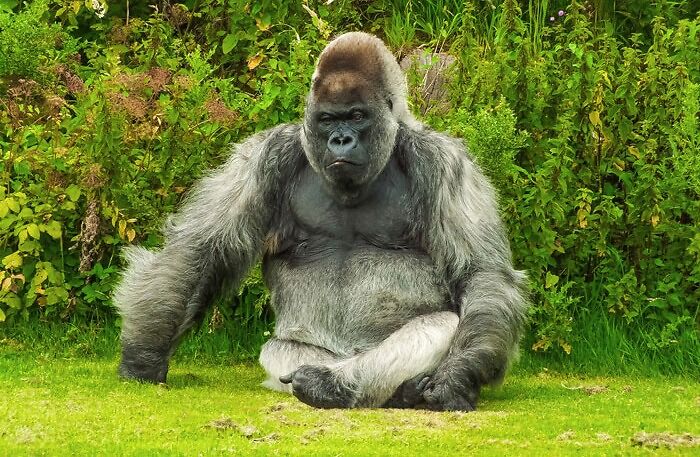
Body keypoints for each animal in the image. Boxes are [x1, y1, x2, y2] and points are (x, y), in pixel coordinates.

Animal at [114, 32, 528, 411]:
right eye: (328, 120)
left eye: (357, 116)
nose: (341, 140)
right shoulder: (264, 157)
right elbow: (200, 250)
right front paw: (144, 355)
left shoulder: (445, 162)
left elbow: (481, 274)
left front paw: (458, 375)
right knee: (281, 350)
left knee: (443, 325)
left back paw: (338, 385)